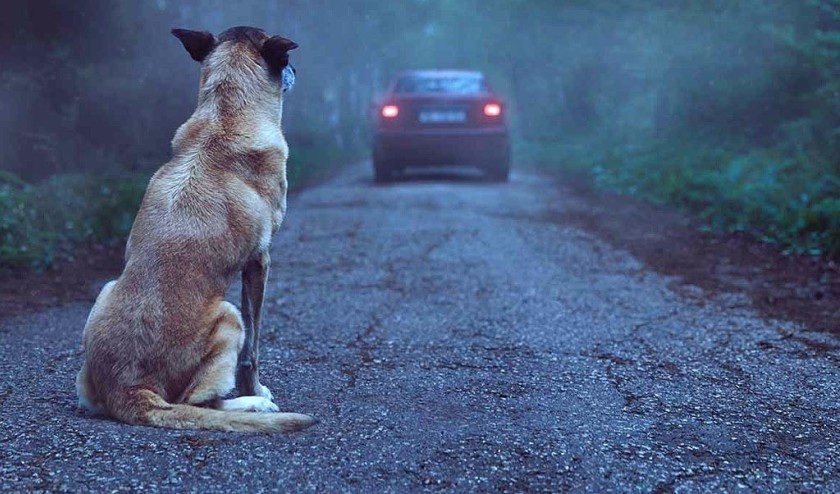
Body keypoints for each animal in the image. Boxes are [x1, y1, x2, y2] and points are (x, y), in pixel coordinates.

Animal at [72, 26, 314, 432]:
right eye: (284, 60)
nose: (297, 70)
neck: (226, 115)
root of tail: (129, 391)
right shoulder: (259, 262)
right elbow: (253, 349)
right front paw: (257, 390)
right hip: (228, 316)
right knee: (199, 401)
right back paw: (254, 405)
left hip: (105, 292)